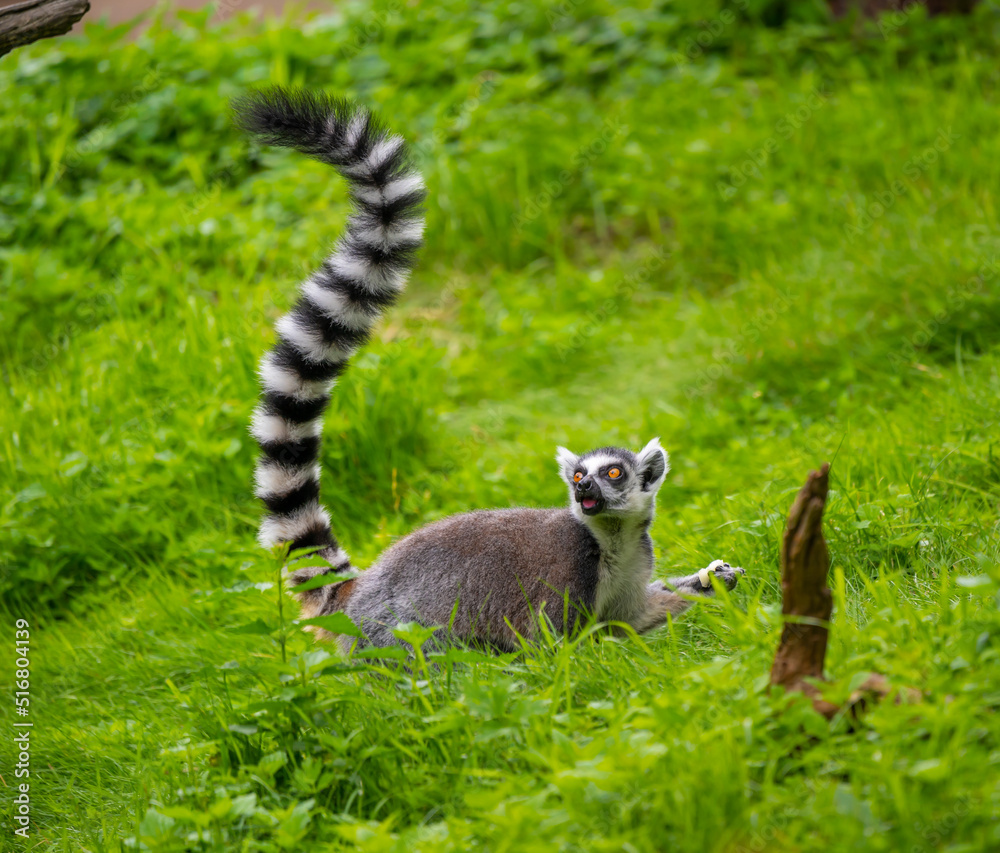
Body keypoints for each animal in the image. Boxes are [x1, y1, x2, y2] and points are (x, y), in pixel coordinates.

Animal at [234, 87, 745, 654]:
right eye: (579, 476)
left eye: (612, 473)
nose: (584, 490)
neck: (610, 541)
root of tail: (355, 594)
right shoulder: (566, 572)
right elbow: (555, 647)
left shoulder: (634, 568)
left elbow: (636, 615)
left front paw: (712, 581)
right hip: (395, 635)